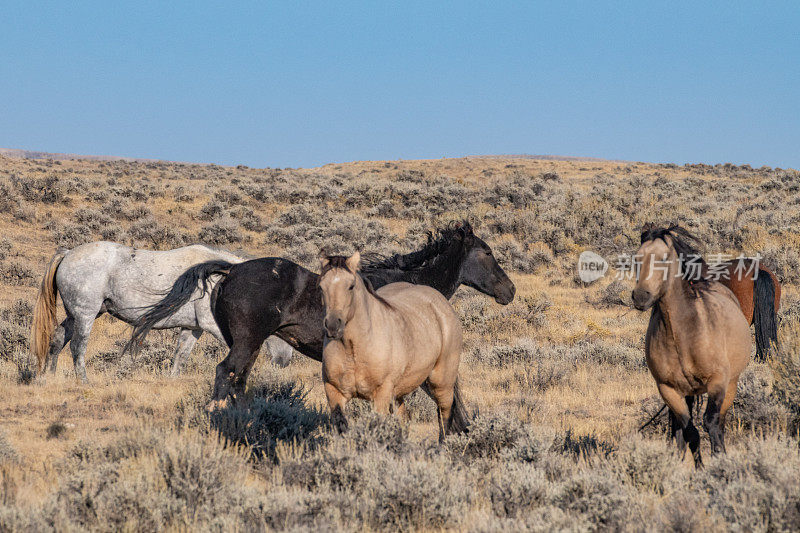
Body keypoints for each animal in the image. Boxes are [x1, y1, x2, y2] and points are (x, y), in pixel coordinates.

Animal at [125, 220, 512, 404]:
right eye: (488, 252)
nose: (510, 290)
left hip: (245, 343)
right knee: (225, 374)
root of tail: (231, 271)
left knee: (238, 380)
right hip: (248, 341)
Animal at [320, 252, 468, 440]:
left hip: (441, 382)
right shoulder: (334, 392)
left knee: (445, 414)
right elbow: (341, 427)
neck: (353, 349)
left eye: (351, 286)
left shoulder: (381, 394)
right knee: (404, 417)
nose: (333, 326)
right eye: (321, 286)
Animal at [636, 224, 752, 466]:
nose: (640, 296)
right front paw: (698, 468)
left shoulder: (717, 382)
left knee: (721, 423)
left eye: (663, 258)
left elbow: (711, 423)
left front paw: (719, 462)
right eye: (637, 258)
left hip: (731, 385)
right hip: (687, 392)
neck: (682, 336)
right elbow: (690, 430)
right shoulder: (668, 389)